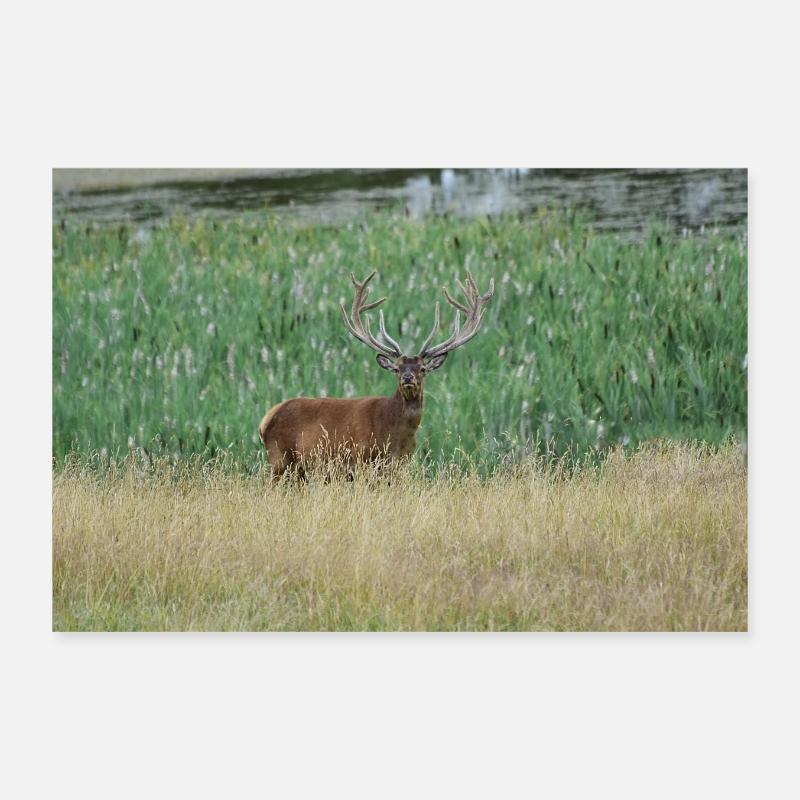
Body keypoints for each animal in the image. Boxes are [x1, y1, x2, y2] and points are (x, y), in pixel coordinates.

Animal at [259, 270, 494, 481]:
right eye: (397, 368)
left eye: (422, 368)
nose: (407, 378)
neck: (395, 434)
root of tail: (266, 419)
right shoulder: (362, 459)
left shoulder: (400, 464)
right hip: (280, 459)